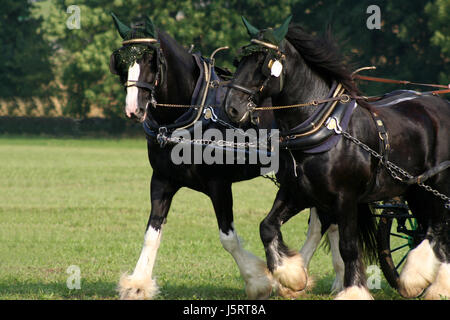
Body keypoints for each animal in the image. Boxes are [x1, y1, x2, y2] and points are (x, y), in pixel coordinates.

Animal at [109, 13, 344, 300]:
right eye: (122, 62)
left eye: (151, 60)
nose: (134, 109)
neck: (192, 110)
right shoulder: (162, 180)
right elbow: (152, 233)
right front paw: (138, 284)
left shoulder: (218, 184)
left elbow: (228, 238)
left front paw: (258, 281)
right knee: (329, 223)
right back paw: (337, 279)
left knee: (321, 224)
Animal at [225, 15, 450, 300]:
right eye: (239, 61)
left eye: (262, 64)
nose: (232, 107)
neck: (322, 127)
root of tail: (440, 104)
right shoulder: (298, 192)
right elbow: (267, 226)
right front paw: (292, 276)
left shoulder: (346, 198)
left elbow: (348, 246)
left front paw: (352, 290)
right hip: (416, 190)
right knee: (431, 231)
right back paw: (429, 282)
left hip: (437, 185)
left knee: (437, 229)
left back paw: (425, 281)